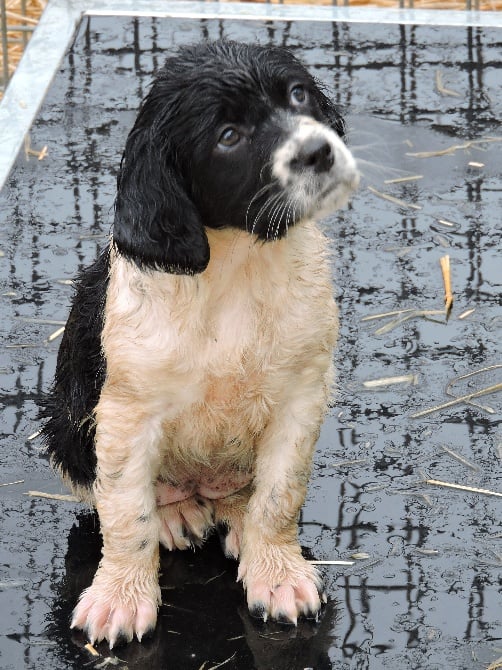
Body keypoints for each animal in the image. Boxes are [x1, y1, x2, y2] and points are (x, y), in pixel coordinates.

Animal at [42, 39, 356, 648]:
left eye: (298, 95)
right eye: (228, 136)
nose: (318, 152)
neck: (239, 264)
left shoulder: (301, 395)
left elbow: (279, 496)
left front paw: (277, 574)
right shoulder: (125, 413)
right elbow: (126, 514)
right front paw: (120, 597)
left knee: (243, 493)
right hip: (67, 418)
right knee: (116, 491)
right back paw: (175, 514)